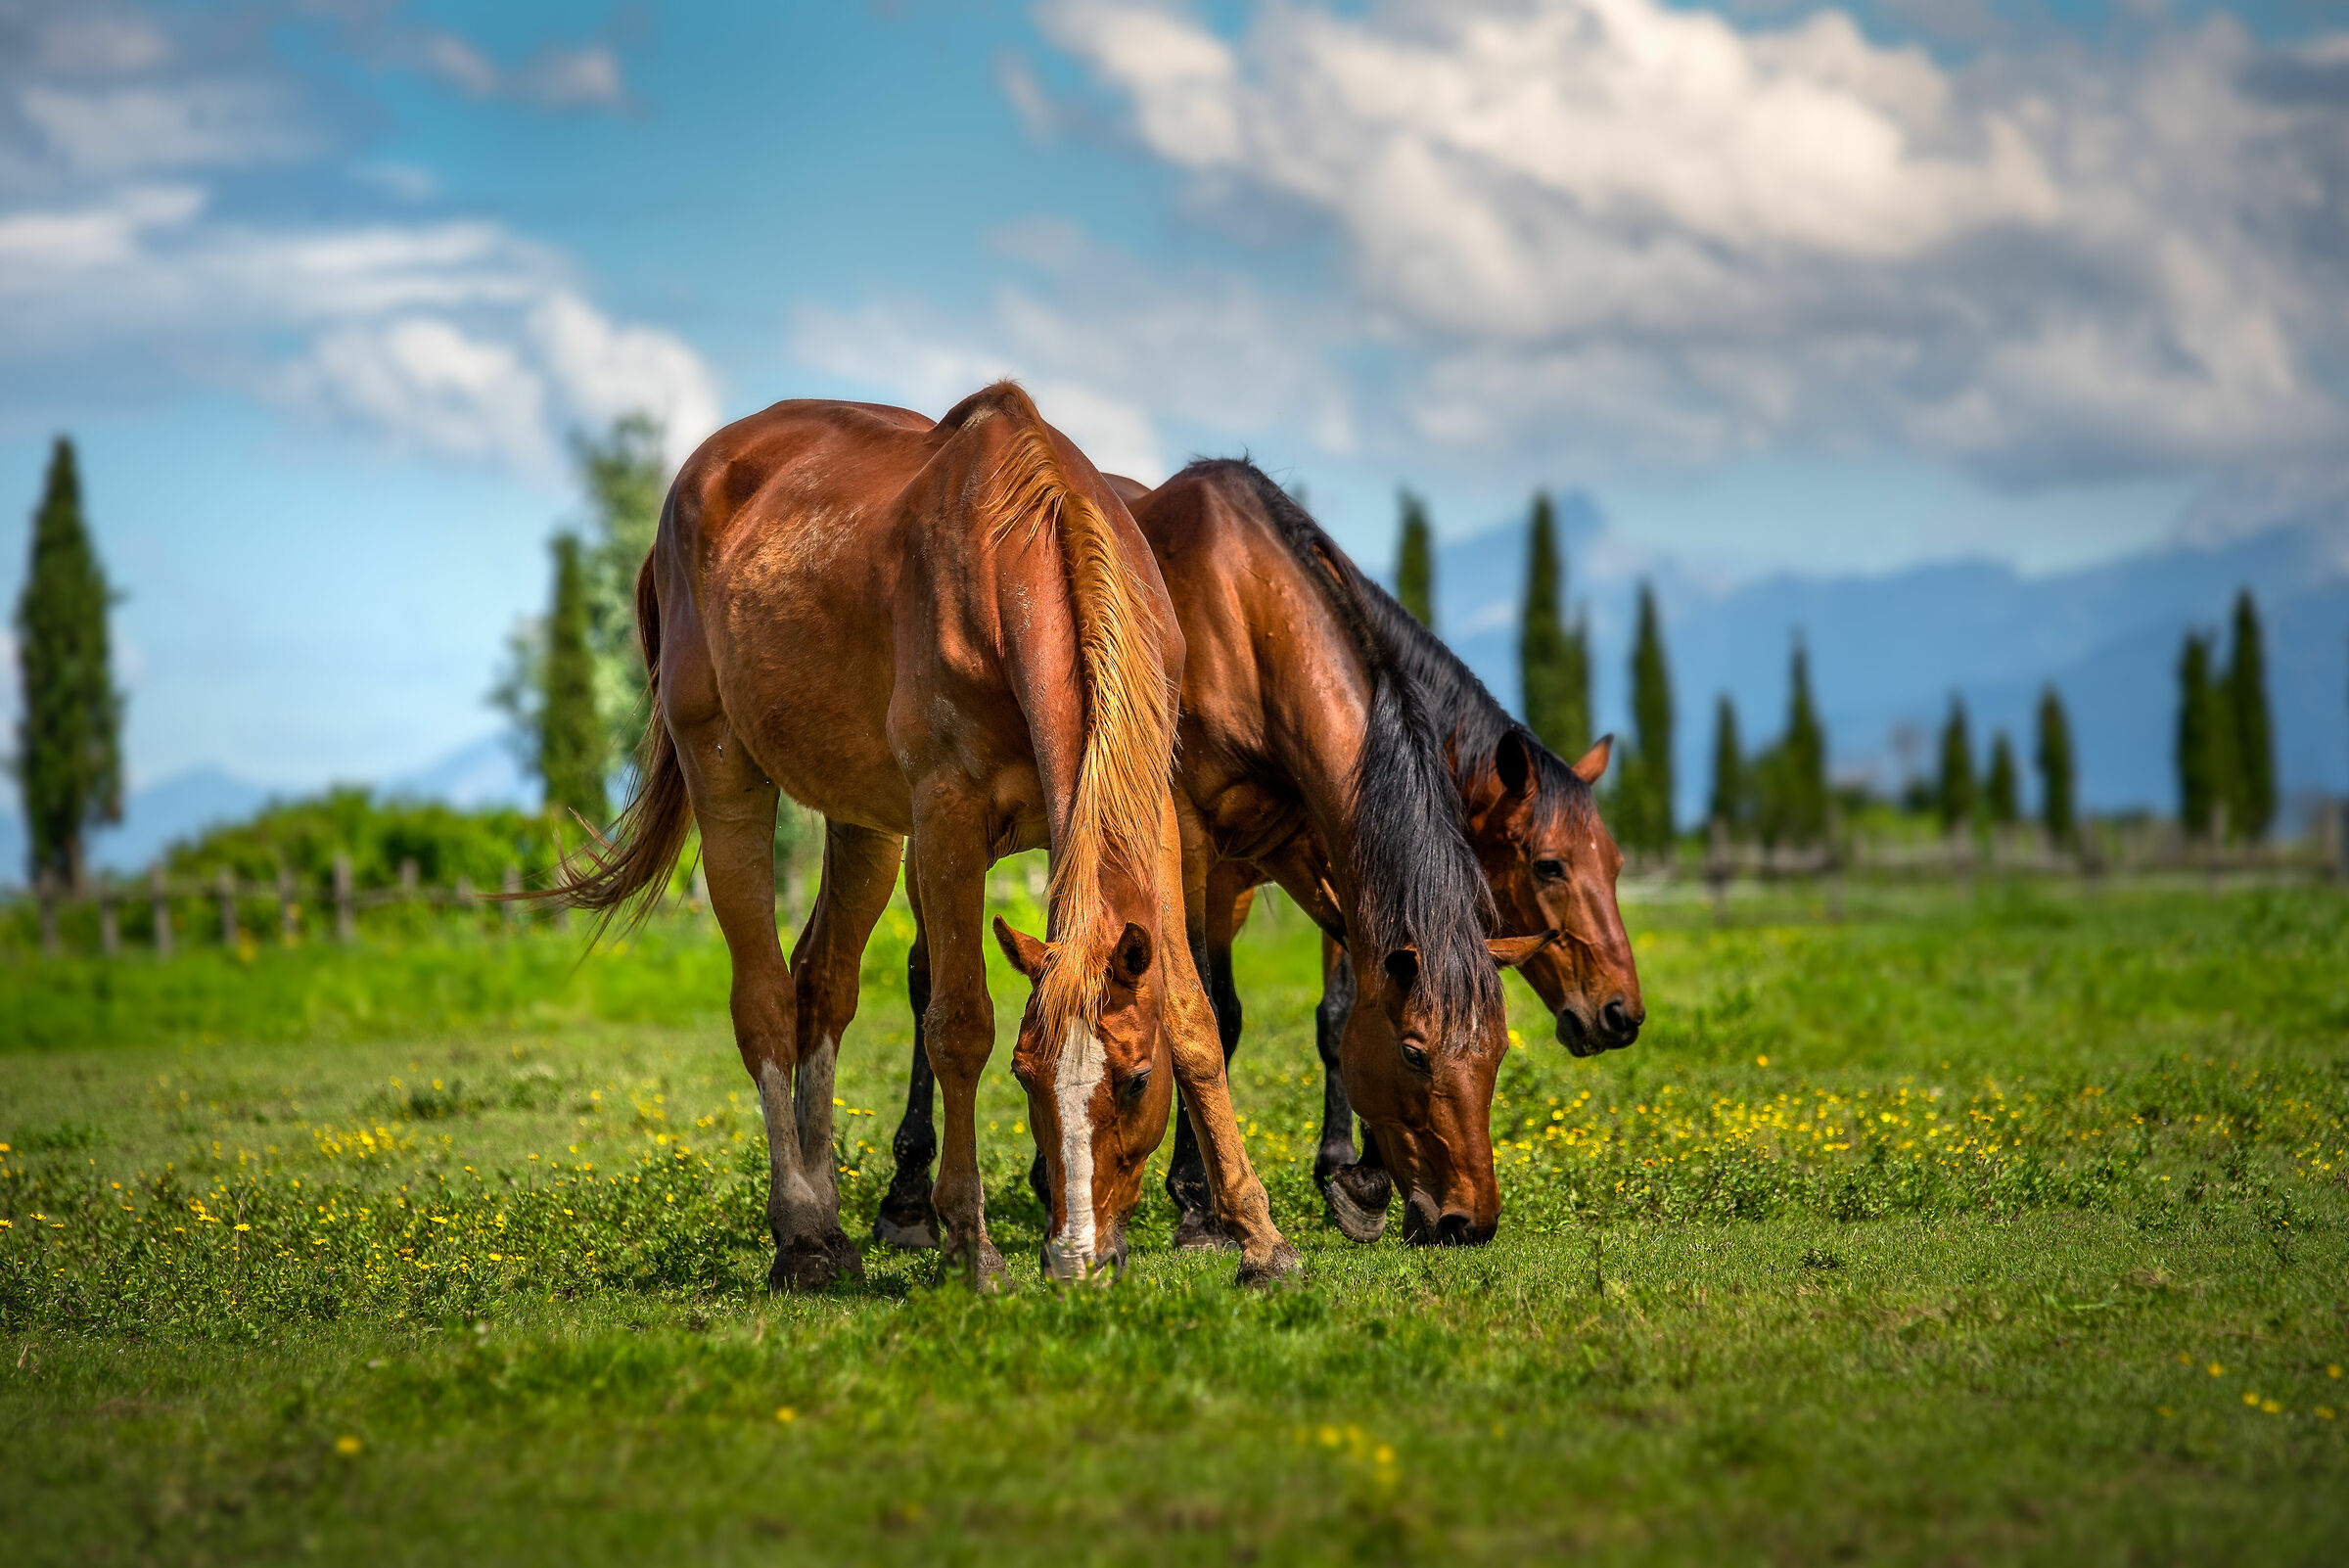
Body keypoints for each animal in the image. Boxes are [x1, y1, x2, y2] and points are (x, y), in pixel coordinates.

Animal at [543, 384, 1299, 1290]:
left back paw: (830, 1222)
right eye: (1026, 1076)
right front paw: (972, 1246)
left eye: (1134, 1080)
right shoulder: (947, 820)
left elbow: (1193, 1018)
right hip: (725, 776)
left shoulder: (1147, 816)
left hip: (864, 823)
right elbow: (958, 1024)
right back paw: (802, 1235)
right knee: (764, 1000)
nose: (1073, 1258)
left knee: (822, 985)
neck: (1025, 552)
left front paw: (1260, 1239)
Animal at [875, 458, 1571, 1251]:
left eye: (1498, 1053)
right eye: (1414, 1052)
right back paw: (908, 1196)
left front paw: (1356, 1181)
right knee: (928, 978)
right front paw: (1201, 1206)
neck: (1249, 613)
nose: (1468, 1221)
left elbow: (1330, 991)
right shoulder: (1187, 844)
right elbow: (1199, 1002)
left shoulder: (1298, 847)